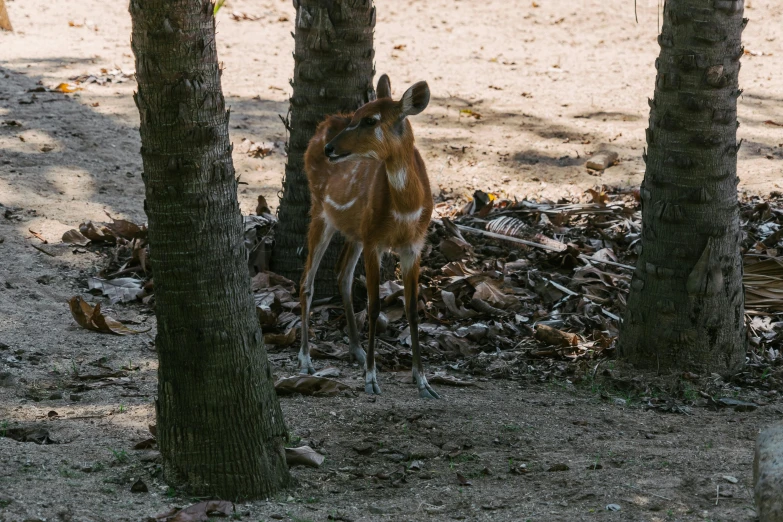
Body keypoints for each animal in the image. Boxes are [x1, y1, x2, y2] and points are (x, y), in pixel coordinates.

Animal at [298, 74, 440, 398]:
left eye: (370, 120)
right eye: (356, 115)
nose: (330, 148)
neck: (406, 209)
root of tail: (322, 126)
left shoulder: (414, 244)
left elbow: (412, 309)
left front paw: (423, 381)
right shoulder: (375, 240)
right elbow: (374, 306)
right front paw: (372, 380)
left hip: (355, 230)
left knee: (342, 274)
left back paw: (357, 351)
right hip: (321, 210)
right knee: (307, 281)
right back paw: (307, 360)